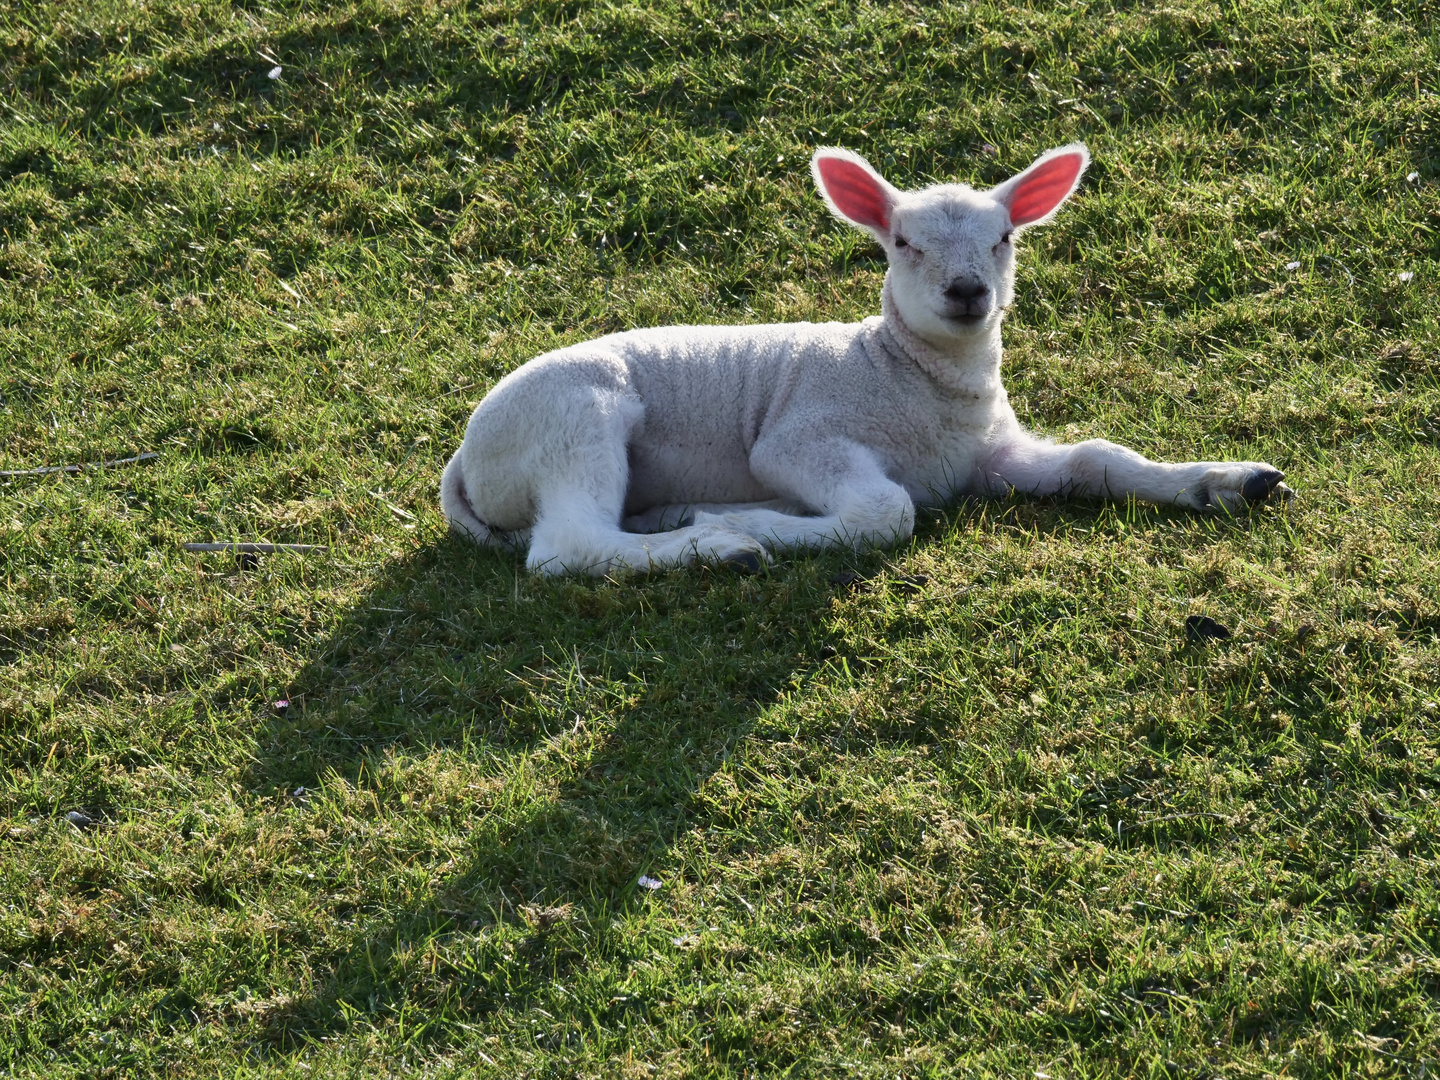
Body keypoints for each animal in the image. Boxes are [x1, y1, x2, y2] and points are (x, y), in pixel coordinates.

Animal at [440, 148, 1296, 578]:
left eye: (1005, 238)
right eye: (903, 242)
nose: (967, 291)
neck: (911, 378)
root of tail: (463, 462)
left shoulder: (987, 454)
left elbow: (1098, 458)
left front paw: (1227, 481)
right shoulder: (799, 436)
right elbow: (887, 511)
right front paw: (745, 524)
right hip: (573, 419)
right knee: (566, 546)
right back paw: (717, 546)